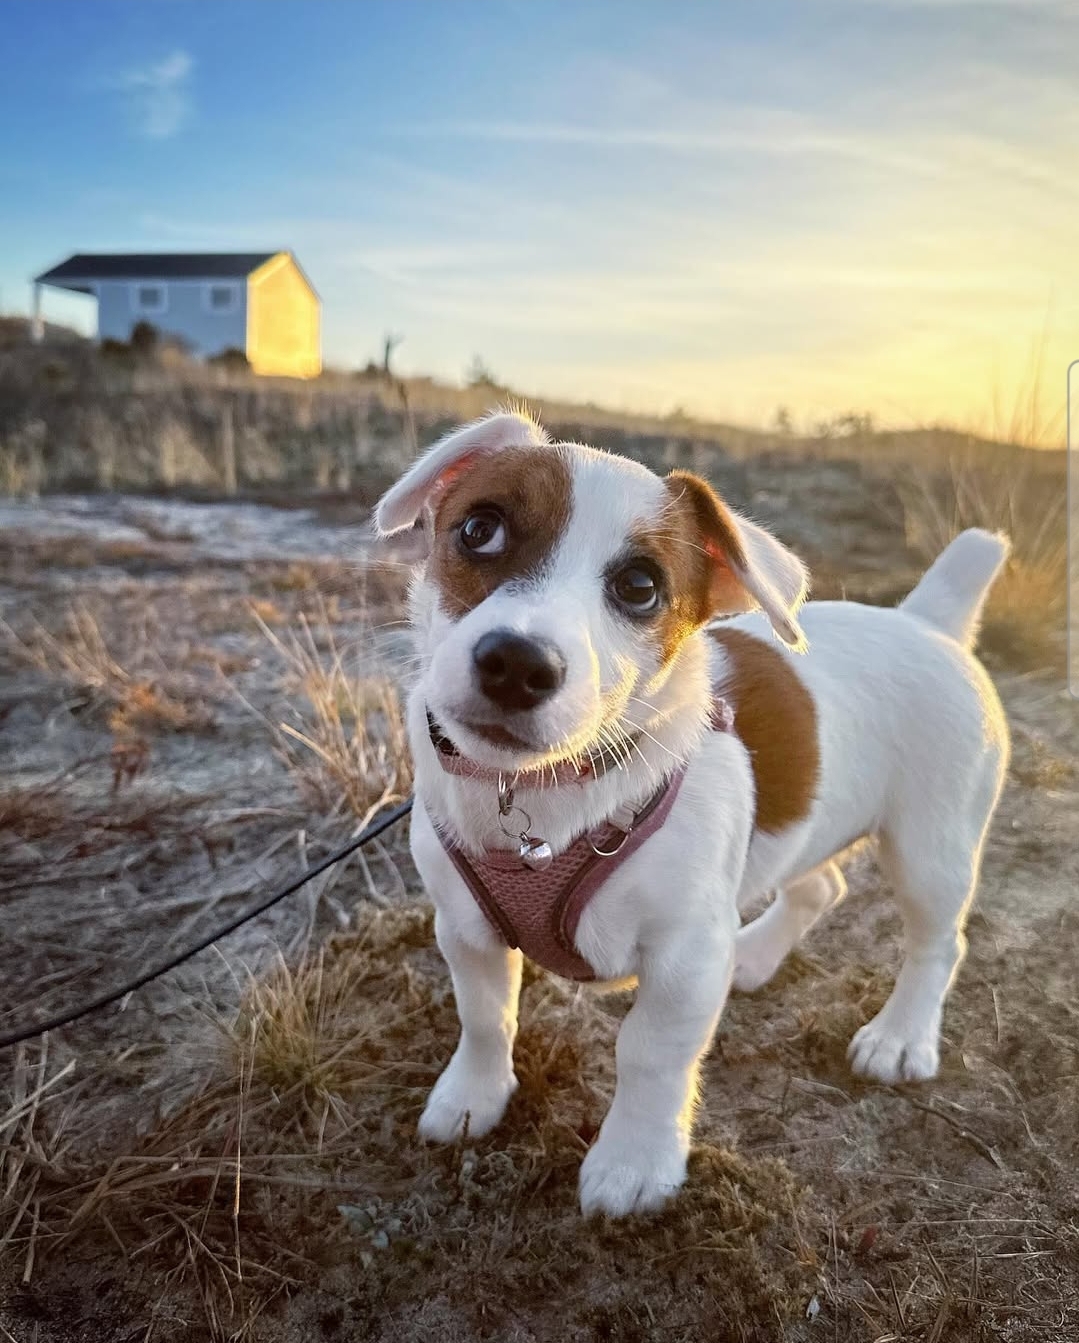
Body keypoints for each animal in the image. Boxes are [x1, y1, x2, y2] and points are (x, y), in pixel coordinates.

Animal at [373, 408, 1010, 1219]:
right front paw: (472, 1096)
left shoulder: (684, 957)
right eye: (479, 530)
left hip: (930, 847)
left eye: (640, 586)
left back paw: (900, 1035)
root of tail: (927, 622)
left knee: (938, 944)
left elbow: (649, 1053)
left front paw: (635, 1159)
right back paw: (756, 955)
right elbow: (486, 1018)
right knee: (819, 885)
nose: (516, 663)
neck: (544, 795)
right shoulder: (466, 929)